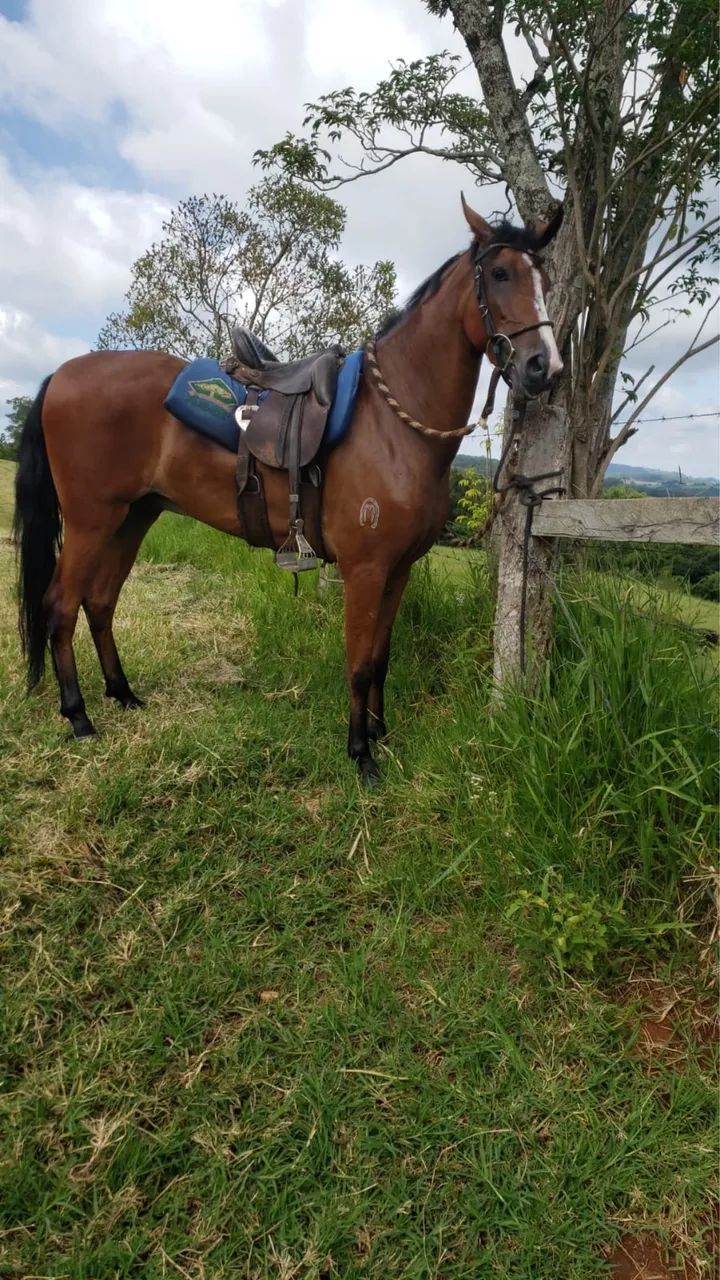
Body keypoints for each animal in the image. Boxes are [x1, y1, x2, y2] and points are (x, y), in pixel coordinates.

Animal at [13, 196, 563, 784]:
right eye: (500, 273)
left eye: (544, 277)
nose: (545, 367)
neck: (395, 426)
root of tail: (61, 375)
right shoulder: (365, 570)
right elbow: (359, 661)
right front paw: (361, 754)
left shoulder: (399, 570)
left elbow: (381, 657)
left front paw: (379, 732)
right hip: (92, 520)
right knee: (61, 605)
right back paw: (78, 716)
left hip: (133, 517)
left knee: (99, 602)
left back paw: (123, 694)